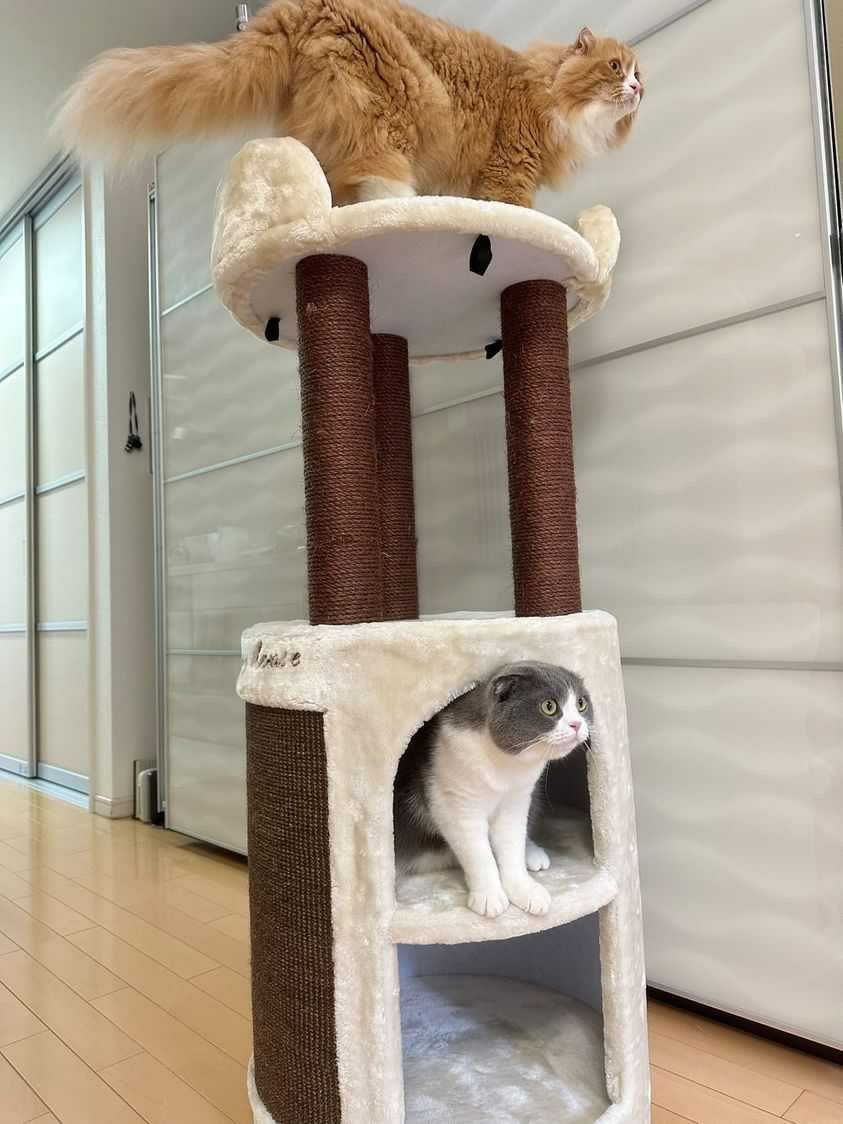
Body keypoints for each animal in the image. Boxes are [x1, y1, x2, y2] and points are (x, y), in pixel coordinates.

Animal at [56, 0, 643, 208]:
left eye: (643, 77)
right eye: (616, 68)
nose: (637, 90)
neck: (544, 86)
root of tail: (295, 7)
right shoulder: (510, 169)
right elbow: (514, 212)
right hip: (390, 109)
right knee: (379, 181)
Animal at [394, 661, 593, 918]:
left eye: (581, 704)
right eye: (549, 706)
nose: (577, 724)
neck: (504, 768)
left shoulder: (517, 799)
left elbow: (512, 843)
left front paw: (525, 890)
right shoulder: (454, 803)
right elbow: (479, 854)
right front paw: (489, 897)